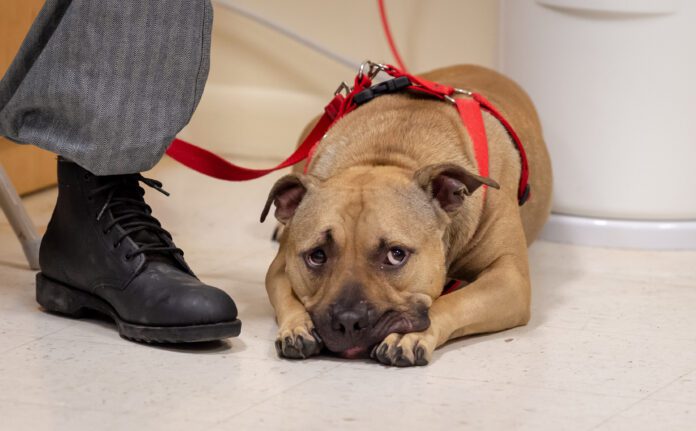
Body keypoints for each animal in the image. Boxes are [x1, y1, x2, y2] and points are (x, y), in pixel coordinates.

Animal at [262, 65, 556, 368]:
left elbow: (451, 302)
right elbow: (286, 294)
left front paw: (409, 336)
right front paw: (297, 326)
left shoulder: (509, 278)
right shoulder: (280, 267)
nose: (348, 321)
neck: (387, 154)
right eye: (317, 256)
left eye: (396, 255)